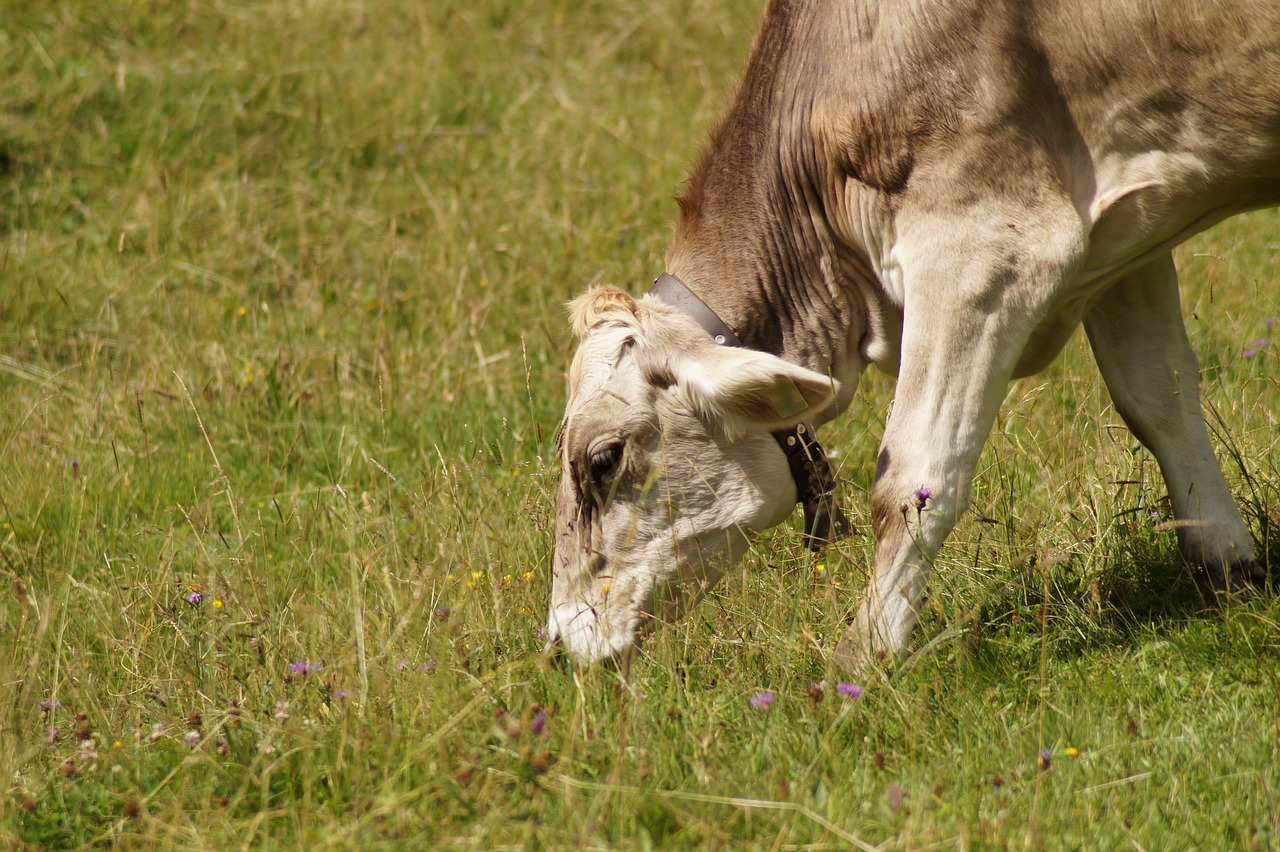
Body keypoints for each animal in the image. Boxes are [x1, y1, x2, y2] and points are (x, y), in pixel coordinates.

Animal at [542, 0, 1280, 665]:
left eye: (602, 459)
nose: (557, 644)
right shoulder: (1129, 233)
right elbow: (1160, 398)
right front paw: (1229, 570)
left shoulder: (985, 248)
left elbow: (914, 474)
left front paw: (862, 658)